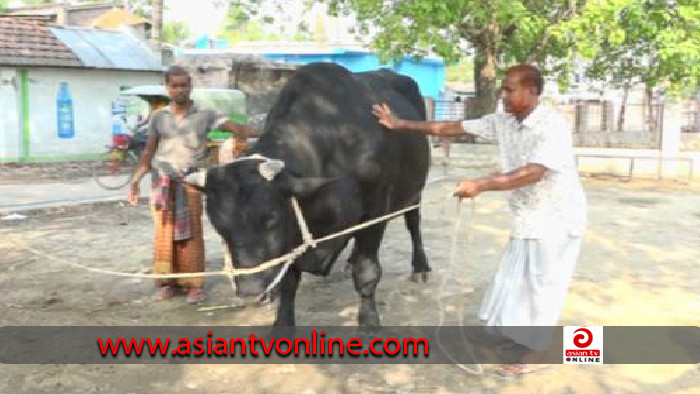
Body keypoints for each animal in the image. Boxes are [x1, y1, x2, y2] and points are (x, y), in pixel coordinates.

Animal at [189, 62, 434, 326]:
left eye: (272, 218)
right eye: (219, 227)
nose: (250, 292)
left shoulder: (375, 211)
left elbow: (367, 272)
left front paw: (369, 321)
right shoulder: (293, 231)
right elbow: (289, 281)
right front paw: (282, 325)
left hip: (414, 191)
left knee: (413, 223)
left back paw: (420, 267)